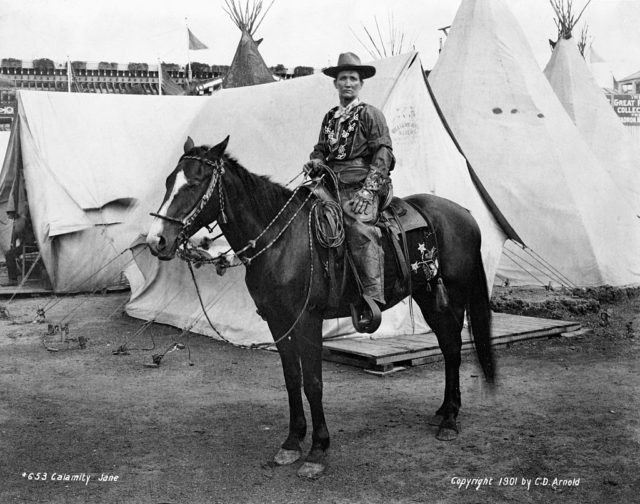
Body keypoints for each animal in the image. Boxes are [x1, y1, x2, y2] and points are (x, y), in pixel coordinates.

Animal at [146, 136, 496, 478]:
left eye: (195, 182)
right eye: (168, 181)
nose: (156, 241)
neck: (282, 240)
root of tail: (464, 213)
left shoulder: (308, 321)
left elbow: (313, 383)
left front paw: (317, 450)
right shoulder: (278, 322)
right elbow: (292, 379)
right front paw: (291, 442)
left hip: (452, 297)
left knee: (453, 347)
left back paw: (450, 420)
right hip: (427, 296)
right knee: (448, 345)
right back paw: (444, 411)